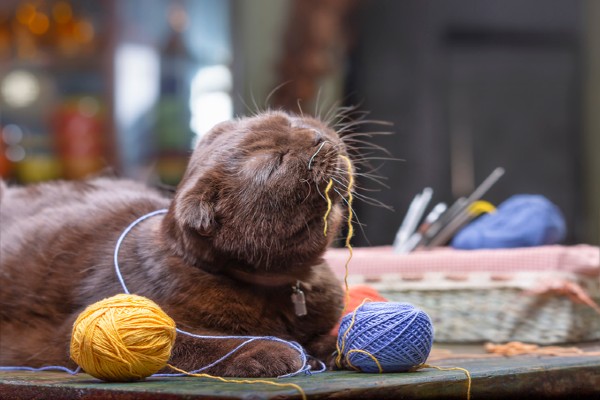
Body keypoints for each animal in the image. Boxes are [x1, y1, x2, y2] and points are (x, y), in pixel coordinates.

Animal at [0, 110, 352, 378]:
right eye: (275, 162)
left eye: (290, 121)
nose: (317, 138)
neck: (287, 289)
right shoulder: (78, 330)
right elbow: (196, 342)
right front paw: (272, 350)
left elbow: (336, 330)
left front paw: (333, 346)